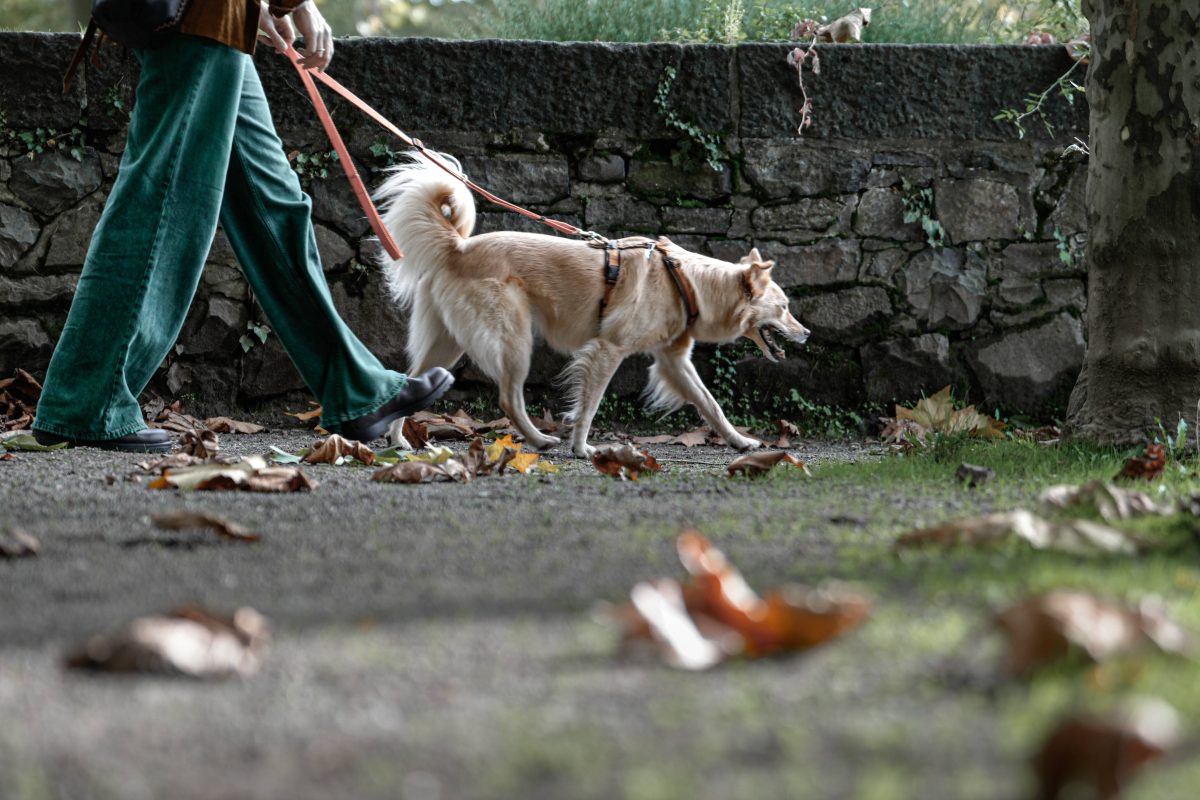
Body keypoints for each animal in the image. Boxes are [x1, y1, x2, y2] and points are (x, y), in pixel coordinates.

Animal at [372, 159, 806, 455]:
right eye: (784, 307)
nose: (808, 333)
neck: (686, 282)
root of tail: (458, 247)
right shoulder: (608, 350)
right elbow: (590, 405)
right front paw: (582, 448)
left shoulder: (674, 360)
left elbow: (710, 404)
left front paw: (741, 442)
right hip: (513, 340)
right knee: (509, 398)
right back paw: (540, 440)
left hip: (449, 342)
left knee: (409, 379)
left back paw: (399, 440)